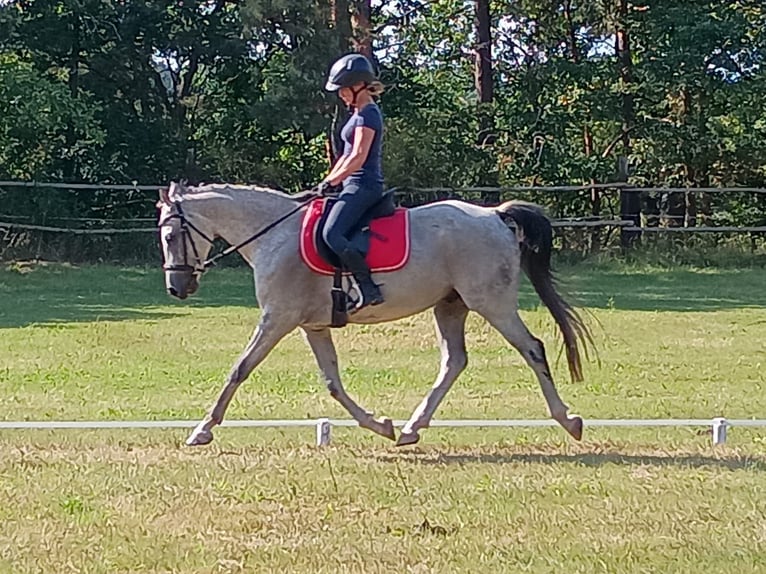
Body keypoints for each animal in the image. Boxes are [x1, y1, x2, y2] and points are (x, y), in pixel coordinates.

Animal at [157, 181, 591, 447]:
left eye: (170, 236)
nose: (177, 288)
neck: (273, 236)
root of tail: (495, 215)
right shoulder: (312, 325)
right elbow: (332, 382)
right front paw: (380, 425)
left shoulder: (277, 318)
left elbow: (239, 369)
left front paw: (202, 430)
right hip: (450, 305)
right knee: (454, 361)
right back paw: (412, 428)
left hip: (492, 302)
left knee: (532, 348)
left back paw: (569, 420)